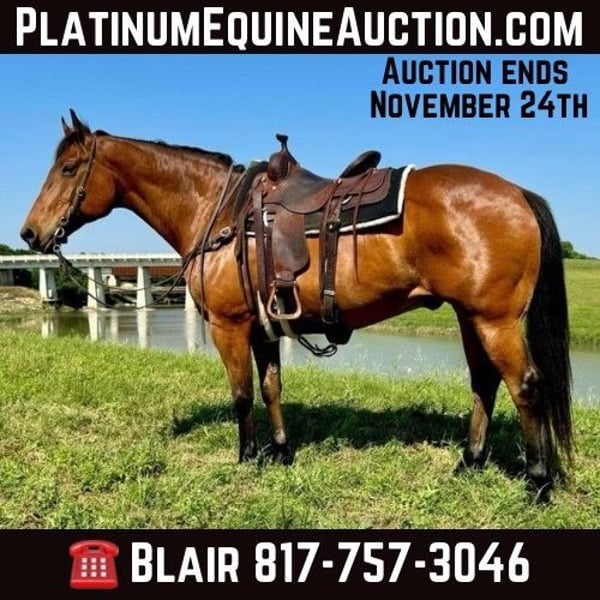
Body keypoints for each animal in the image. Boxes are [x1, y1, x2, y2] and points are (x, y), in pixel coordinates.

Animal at [20, 110, 573, 502]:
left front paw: (246, 456)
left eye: (68, 168)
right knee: (484, 383)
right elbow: (270, 388)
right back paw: (469, 462)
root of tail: (517, 193)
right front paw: (281, 452)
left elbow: (242, 394)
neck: (217, 211)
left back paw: (537, 482)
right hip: (469, 316)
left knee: (526, 386)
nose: (29, 234)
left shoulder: (229, 327)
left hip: (494, 321)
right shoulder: (263, 327)